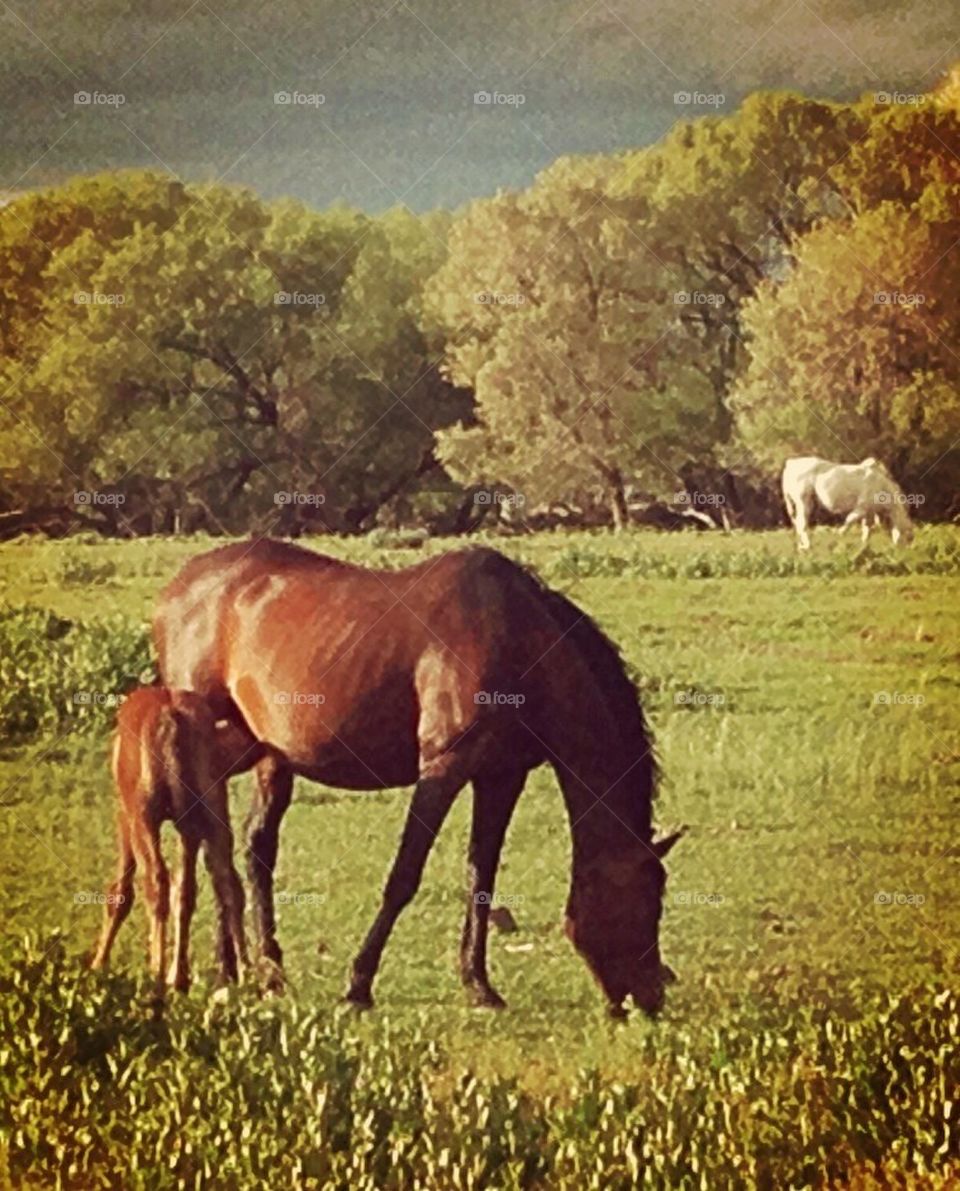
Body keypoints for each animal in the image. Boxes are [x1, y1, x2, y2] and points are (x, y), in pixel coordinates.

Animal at [91, 686, 253, 991]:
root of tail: (171, 719)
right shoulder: (190, 825)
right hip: (211, 811)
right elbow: (188, 889)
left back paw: (157, 973)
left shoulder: (126, 814)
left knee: (157, 881)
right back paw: (245, 973)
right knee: (225, 883)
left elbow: (121, 891)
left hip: (145, 816)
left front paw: (99, 963)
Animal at [154, 540, 683, 1017]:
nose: (650, 997)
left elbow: (481, 877)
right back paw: (230, 971)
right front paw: (358, 985)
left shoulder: (501, 776)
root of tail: (177, 590)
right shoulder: (443, 770)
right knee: (216, 845)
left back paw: (261, 972)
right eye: (647, 897)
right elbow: (404, 876)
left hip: (270, 754)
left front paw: (479, 985)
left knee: (250, 848)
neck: (517, 640)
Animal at [782, 456, 914, 551]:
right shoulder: (861, 508)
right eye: (909, 533)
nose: (906, 548)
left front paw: (864, 545)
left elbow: (867, 529)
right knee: (802, 523)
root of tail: (791, 463)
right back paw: (808, 546)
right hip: (804, 501)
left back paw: (802, 545)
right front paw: (839, 533)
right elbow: (849, 520)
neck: (882, 486)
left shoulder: (869, 512)